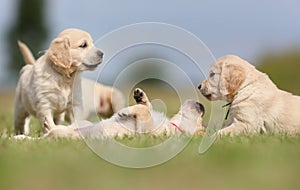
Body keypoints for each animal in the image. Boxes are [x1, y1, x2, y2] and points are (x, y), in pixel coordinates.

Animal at [42, 87, 206, 138]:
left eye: (202, 125)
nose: (203, 106)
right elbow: (147, 107)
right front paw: (140, 96)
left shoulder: (147, 133)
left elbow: (144, 111)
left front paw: (124, 111)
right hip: (82, 123)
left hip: (67, 136)